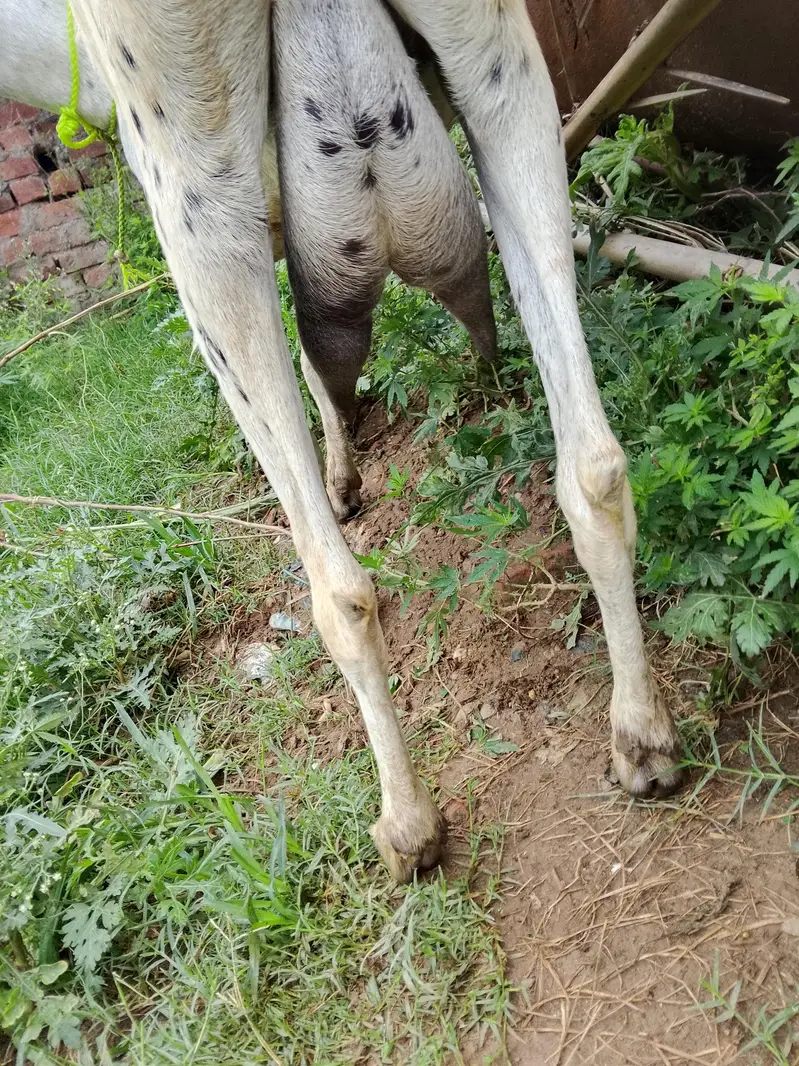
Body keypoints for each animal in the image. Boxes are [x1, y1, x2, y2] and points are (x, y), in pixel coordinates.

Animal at [1, 0, 682, 882]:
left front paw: (339, 472)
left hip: (185, 166)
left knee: (339, 592)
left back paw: (408, 823)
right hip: (503, 71)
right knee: (592, 468)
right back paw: (641, 736)